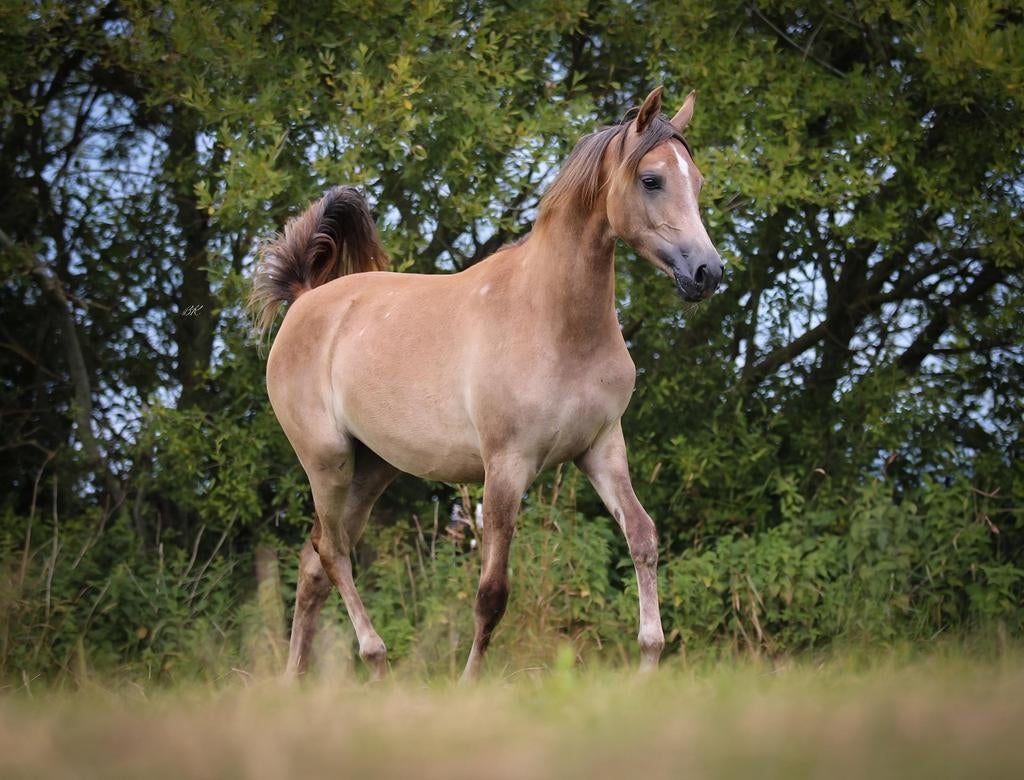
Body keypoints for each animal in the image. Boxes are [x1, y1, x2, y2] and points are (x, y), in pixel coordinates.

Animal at [249, 86, 723, 681]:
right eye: (652, 180)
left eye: (697, 180)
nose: (708, 273)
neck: (553, 321)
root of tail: (306, 298)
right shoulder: (506, 467)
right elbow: (492, 592)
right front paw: (470, 682)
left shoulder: (601, 447)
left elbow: (643, 538)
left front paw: (649, 660)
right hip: (327, 462)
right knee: (332, 553)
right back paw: (376, 661)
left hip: (372, 468)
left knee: (314, 563)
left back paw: (296, 680)